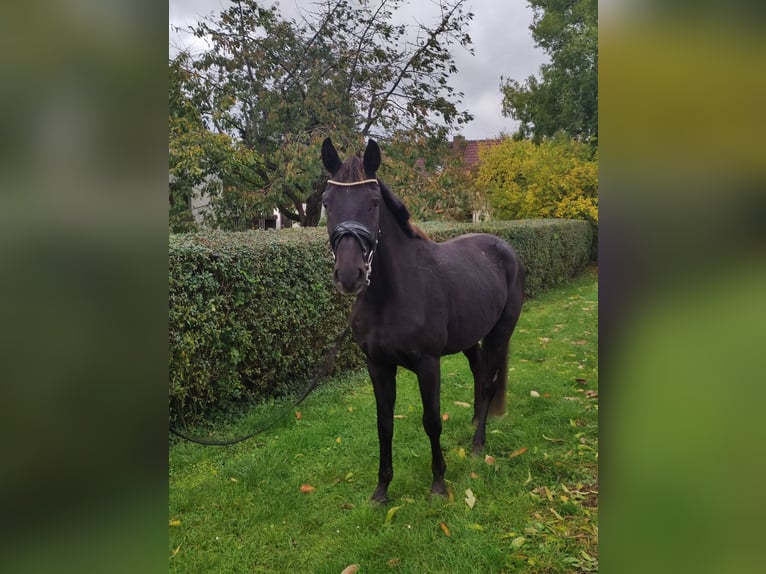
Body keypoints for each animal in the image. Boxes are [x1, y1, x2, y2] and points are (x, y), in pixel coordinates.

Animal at [320, 138, 524, 504]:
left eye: (373, 203)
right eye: (327, 202)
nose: (349, 275)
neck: (391, 296)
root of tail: (503, 247)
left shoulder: (428, 364)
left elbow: (431, 421)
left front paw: (439, 485)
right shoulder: (378, 364)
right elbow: (384, 423)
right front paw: (381, 489)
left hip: (500, 332)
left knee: (488, 381)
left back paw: (478, 444)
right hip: (470, 337)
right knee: (478, 371)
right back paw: (475, 420)